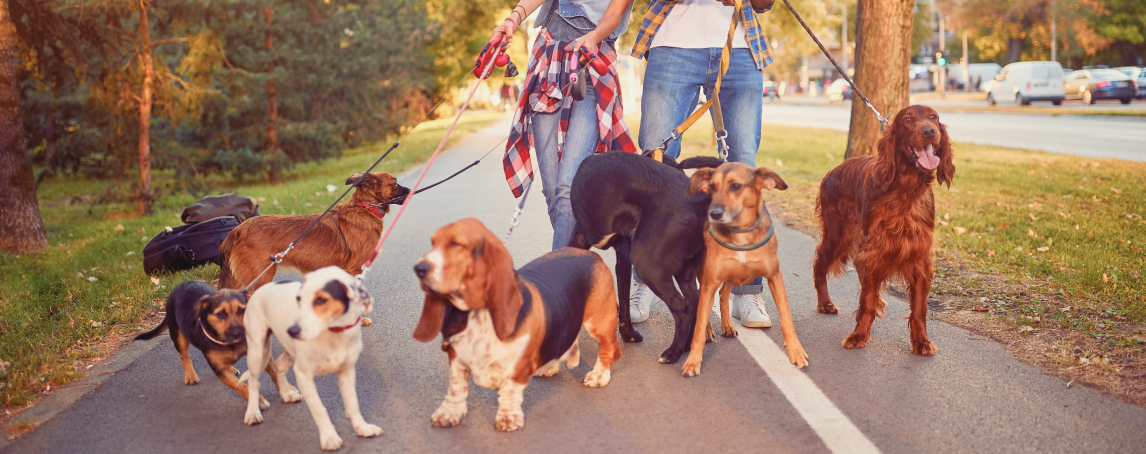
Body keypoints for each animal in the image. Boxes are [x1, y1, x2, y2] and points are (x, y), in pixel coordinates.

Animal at [131, 279, 278, 408]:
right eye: (220, 314)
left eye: (242, 310)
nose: (237, 333)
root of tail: (181, 285)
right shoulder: (221, 371)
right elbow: (240, 386)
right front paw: (259, 401)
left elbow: (274, 372)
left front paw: (283, 389)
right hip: (178, 335)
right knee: (185, 356)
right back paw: (190, 376)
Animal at [216, 169, 410, 291]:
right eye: (395, 183)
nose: (410, 190)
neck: (365, 208)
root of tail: (236, 231)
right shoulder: (354, 270)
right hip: (260, 278)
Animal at [412, 217, 623, 431]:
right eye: (432, 243)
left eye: (456, 244)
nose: (419, 269)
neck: (478, 314)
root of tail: (584, 253)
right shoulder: (456, 359)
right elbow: (456, 388)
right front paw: (449, 413)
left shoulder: (516, 367)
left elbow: (509, 391)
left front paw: (508, 418)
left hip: (598, 322)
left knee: (609, 346)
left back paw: (599, 375)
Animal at [568, 150, 719, 364]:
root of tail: (700, 200)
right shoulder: (623, 258)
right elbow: (623, 303)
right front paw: (628, 334)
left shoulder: (582, 240)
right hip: (683, 271)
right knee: (696, 304)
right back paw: (688, 346)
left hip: (648, 265)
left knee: (684, 308)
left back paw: (671, 354)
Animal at [683, 162, 811, 376]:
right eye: (712, 186)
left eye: (736, 186)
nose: (714, 214)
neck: (741, 232)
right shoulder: (711, 280)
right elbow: (699, 326)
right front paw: (692, 362)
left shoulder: (775, 277)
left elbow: (787, 319)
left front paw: (796, 352)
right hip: (708, 276)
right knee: (704, 302)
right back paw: (710, 330)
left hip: (737, 276)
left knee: (724, 294)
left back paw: (727, 325)